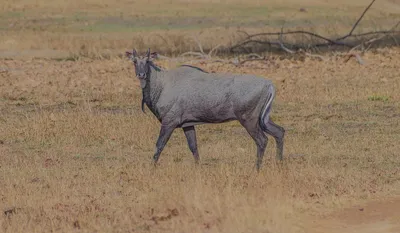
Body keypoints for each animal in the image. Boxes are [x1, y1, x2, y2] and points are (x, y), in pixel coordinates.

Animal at [125, 48, 284, 170]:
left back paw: (256, 168)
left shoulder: (169, 122)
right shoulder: (187, 125)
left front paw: (151, 167)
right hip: (263, 119)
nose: (141, 74)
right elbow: (193, 147)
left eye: (147, 61)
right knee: (280, 132)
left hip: (248, 120)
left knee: (262, 140)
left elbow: (159, 145)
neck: (162, 84)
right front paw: (198, 168)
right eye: (134, 61)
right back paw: (279, 164)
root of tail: (269, 85)